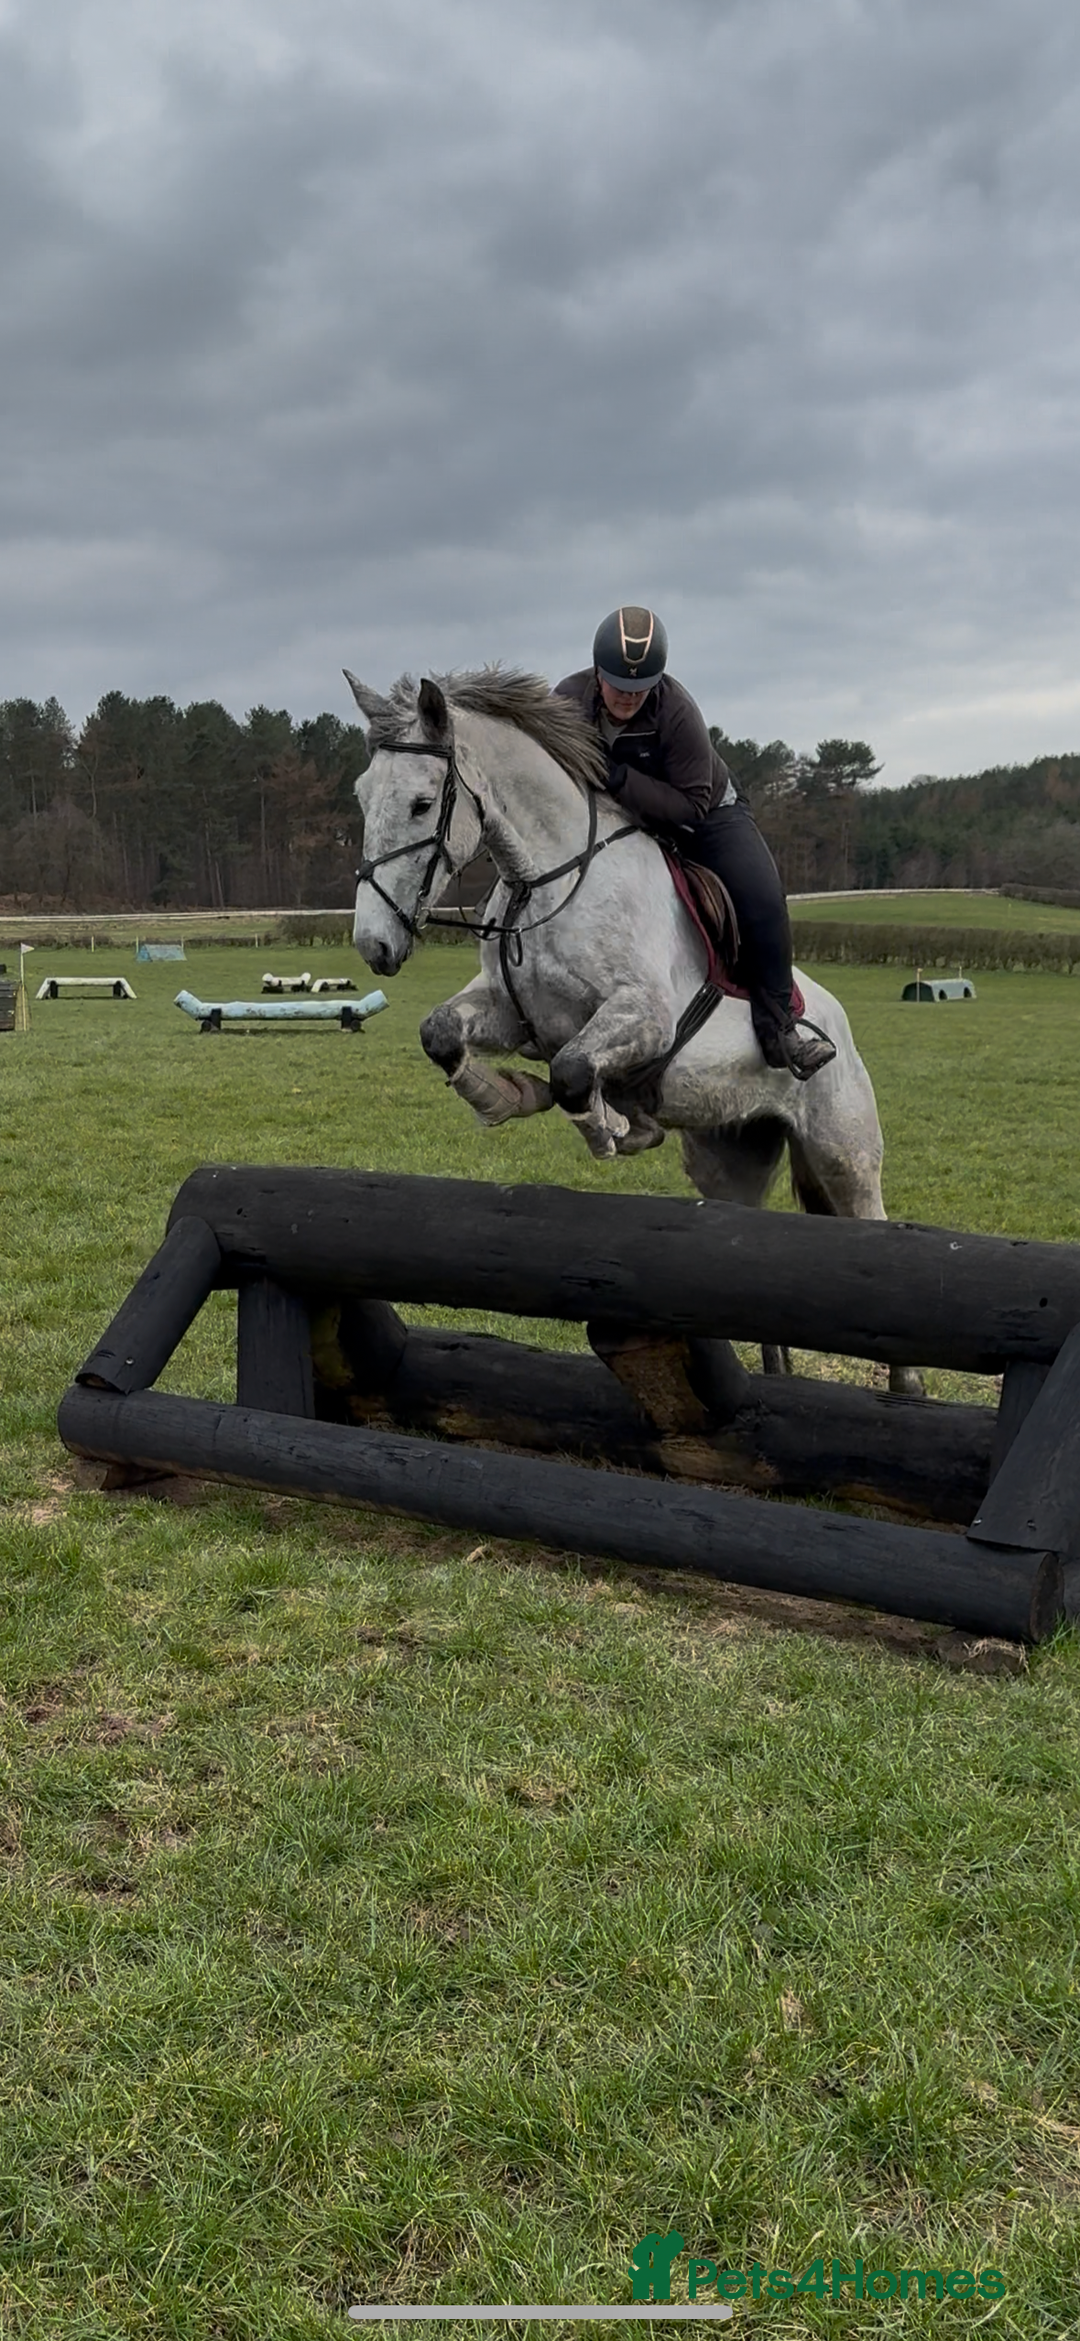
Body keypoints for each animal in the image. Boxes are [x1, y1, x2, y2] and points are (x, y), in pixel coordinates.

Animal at [344, 666, 919, 1395]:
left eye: (422, 805)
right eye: (363, 798)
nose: (375, 947)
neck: (547, 875)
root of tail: (835, 1016)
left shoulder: (643, 1017)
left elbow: (573, 1072)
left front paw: (614, 1126)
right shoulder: (511, 1013)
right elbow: (442, 1032)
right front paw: (507, 1097)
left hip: (843, 1151)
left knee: (871, 1221)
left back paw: (908, 1391)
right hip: (726, 1157)